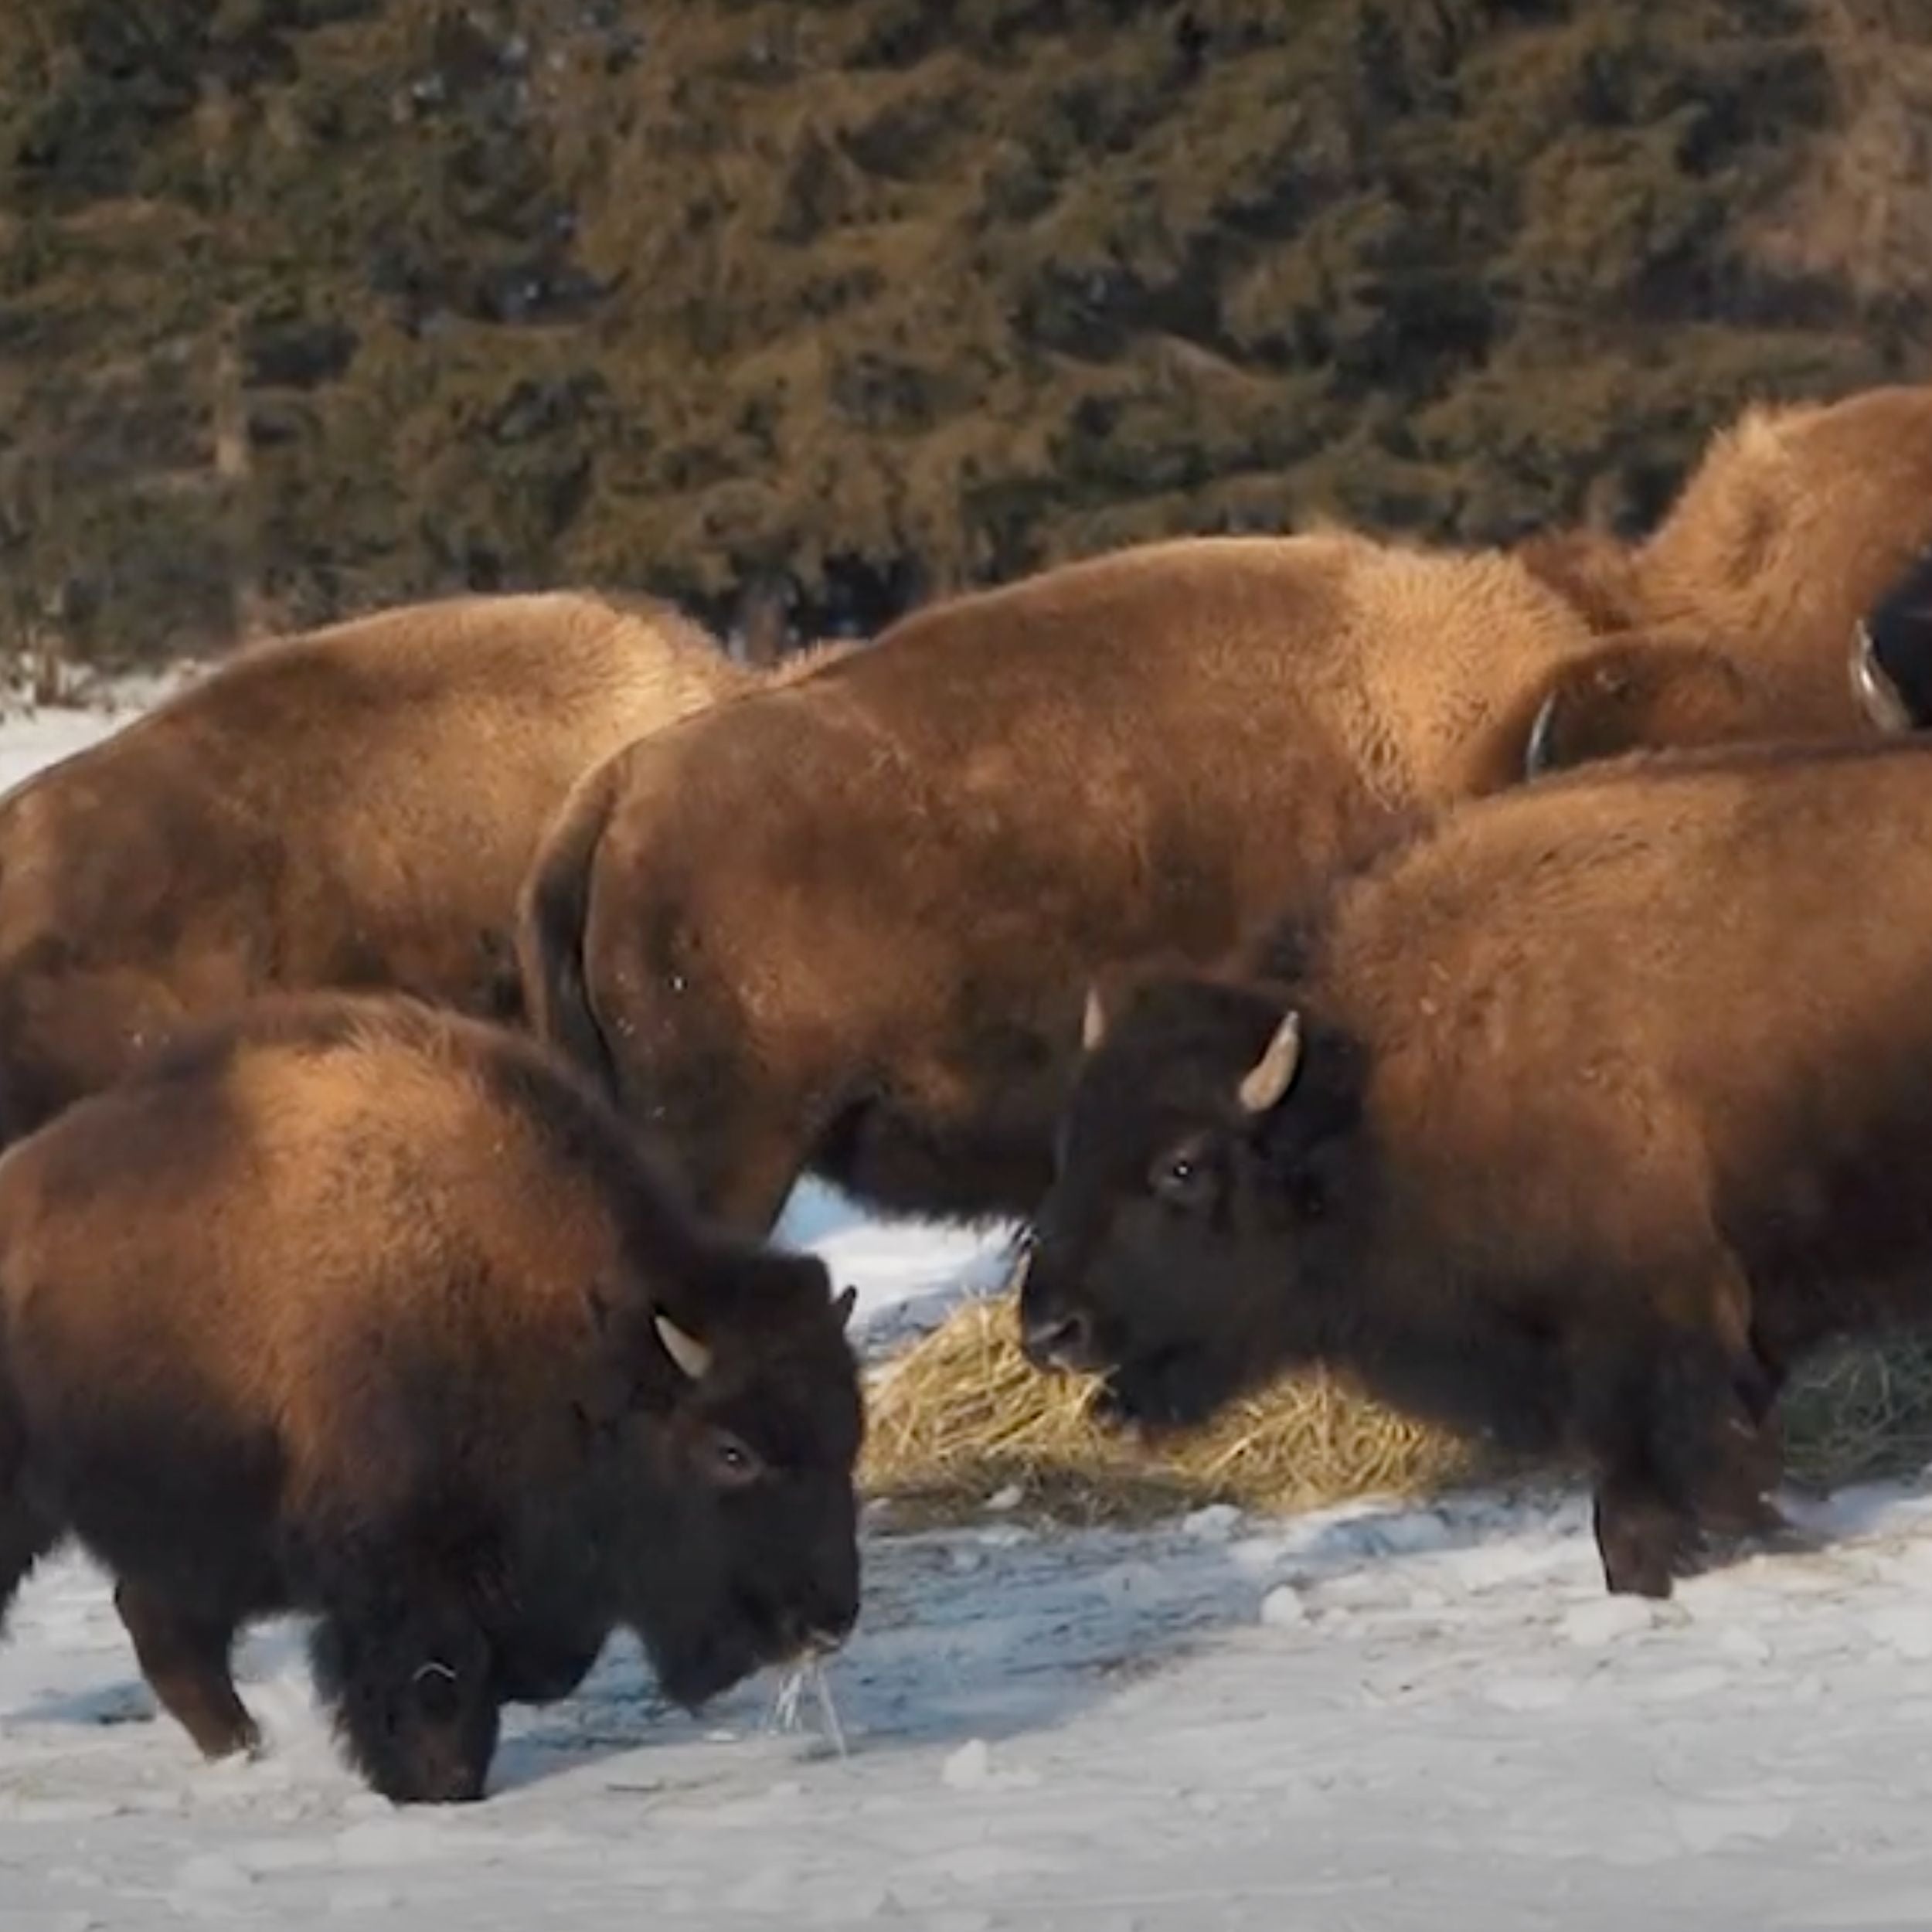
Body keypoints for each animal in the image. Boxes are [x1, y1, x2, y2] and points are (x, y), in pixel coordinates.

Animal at [0, 989, 866, 1801]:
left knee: (163, 1627)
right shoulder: (404, 1573)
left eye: (848, 1438)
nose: (828, 1619)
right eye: (732, 1451)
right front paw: (435, 1782)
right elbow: (431, 1682)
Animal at [1028, 726, 1932, 1600]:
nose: (1049, 1329)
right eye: (1071, 1143)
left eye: (1182, 1165)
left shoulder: (1645, 1326)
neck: (1365, 1085)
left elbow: (1656, 1470)